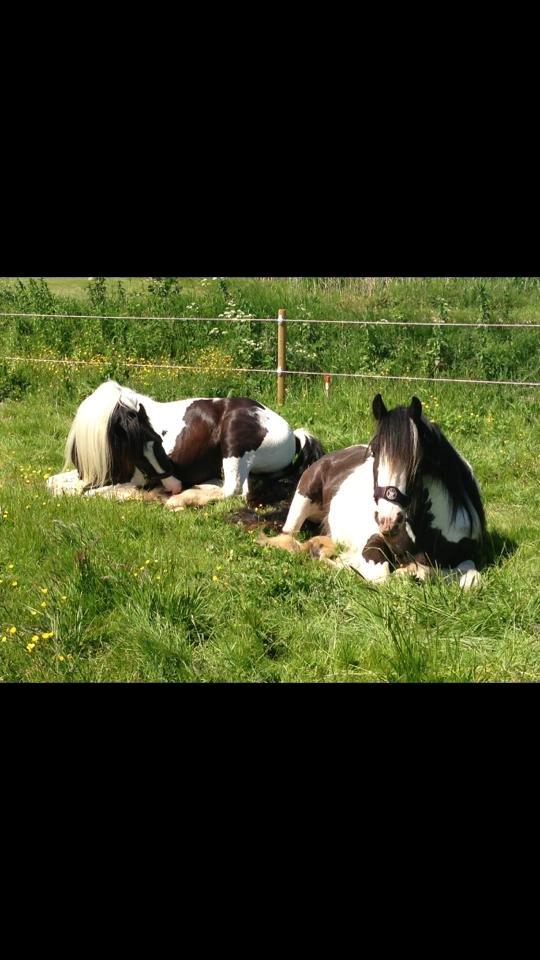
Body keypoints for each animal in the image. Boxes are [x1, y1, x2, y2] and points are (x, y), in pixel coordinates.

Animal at [47, 380, 324, 510]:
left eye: (159, 441)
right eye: (136, 452)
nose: (174, 485)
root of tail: (294, 434)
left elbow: (89, 493)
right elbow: (53, 483)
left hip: (234, 444)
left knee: (234, 491)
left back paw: (184, 497)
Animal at [264, 394, 488, 588]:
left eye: (417, 460)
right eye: (375, 451)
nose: (388, 521)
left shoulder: (465, 558)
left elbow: (470, 579)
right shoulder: (373, 542)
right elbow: (381, 576)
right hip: (301, 502)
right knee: (289, 536)